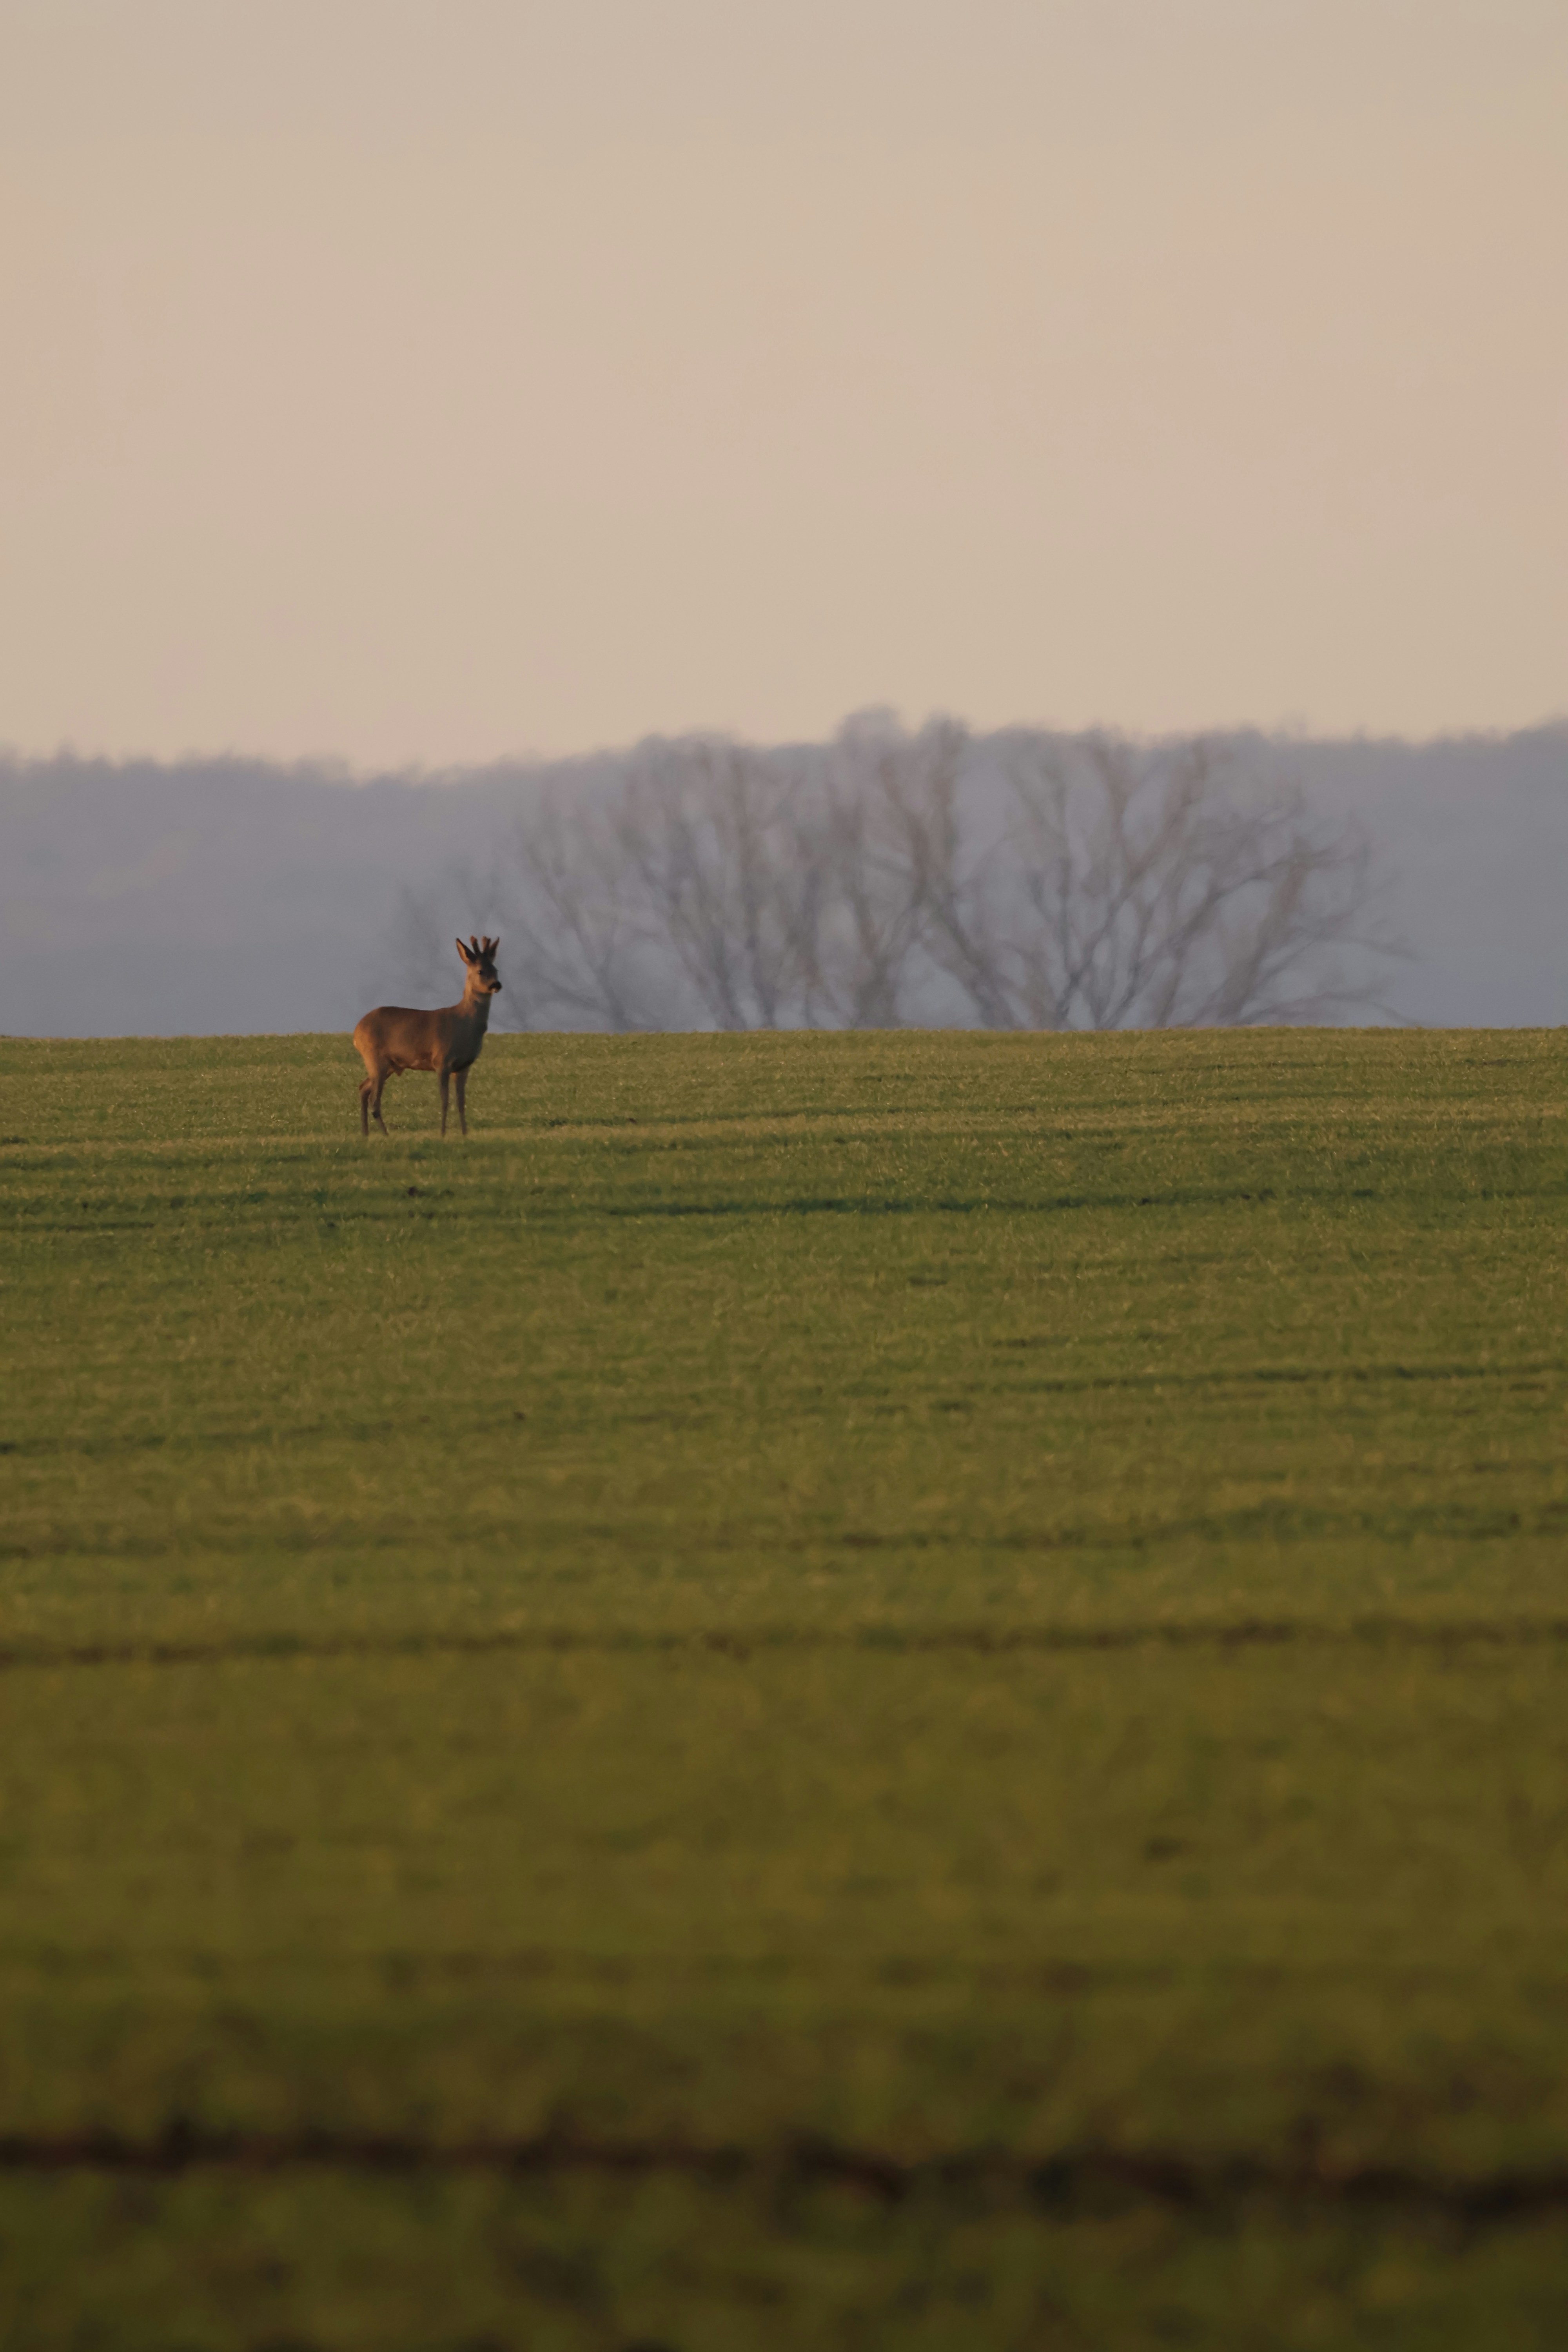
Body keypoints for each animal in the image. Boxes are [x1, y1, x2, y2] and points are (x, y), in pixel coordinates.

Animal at [353, 935, 502, 1138]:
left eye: (496, 969)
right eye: (481, 971)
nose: (497, 985)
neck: (464, 1025)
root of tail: (356, 1032)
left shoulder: (464, 1065)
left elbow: (461, 1103)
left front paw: (465, 1134)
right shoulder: (442, 1060)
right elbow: (445, 1101)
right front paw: (443, 1134)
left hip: (390, 1064)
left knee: (364, 1089)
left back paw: (366, 1134)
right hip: (375, 1058)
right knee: (375, 1101)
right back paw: (385, 1135)